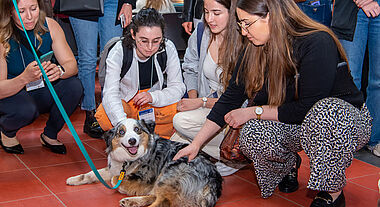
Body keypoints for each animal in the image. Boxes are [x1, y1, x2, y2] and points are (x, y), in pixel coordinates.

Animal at [67, 118, 224, 207]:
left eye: (137, 130)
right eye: (121, 132)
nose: (132, 141)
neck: (128, 159)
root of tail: (213, 180)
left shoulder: (145, 178)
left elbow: (114, 180)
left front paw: (123, 187)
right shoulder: (113, 168)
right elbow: (91, 174)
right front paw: (74, 179)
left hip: (168, 175)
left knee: (162, 202)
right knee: (156, 197)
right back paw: (130, 202)